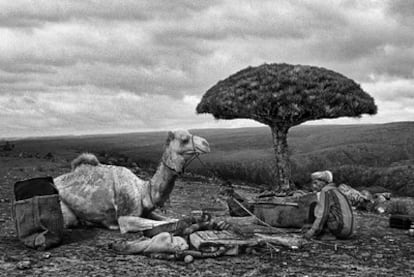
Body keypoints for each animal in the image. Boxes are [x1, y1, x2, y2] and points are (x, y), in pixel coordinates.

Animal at [53, 130, 210, 233]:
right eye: (184, 139)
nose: (206, 144)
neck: (144, 192)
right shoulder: (125, 217)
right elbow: (163, 224)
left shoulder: (146, 212)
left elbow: (170, 219)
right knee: (71, 221)